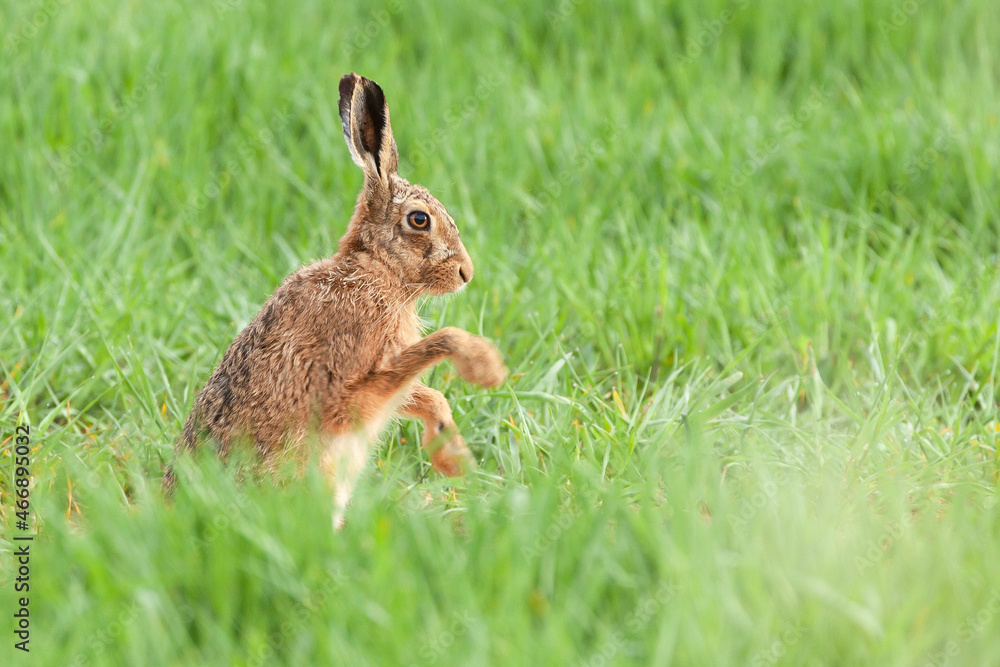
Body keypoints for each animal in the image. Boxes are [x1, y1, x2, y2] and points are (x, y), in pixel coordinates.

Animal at [165, 73, 507, 529]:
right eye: (420, 220)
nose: (466, 273)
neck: (376, 270)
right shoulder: (343, 389)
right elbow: (438, 347)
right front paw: (486, 367)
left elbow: (426, 393)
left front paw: (453, 457)